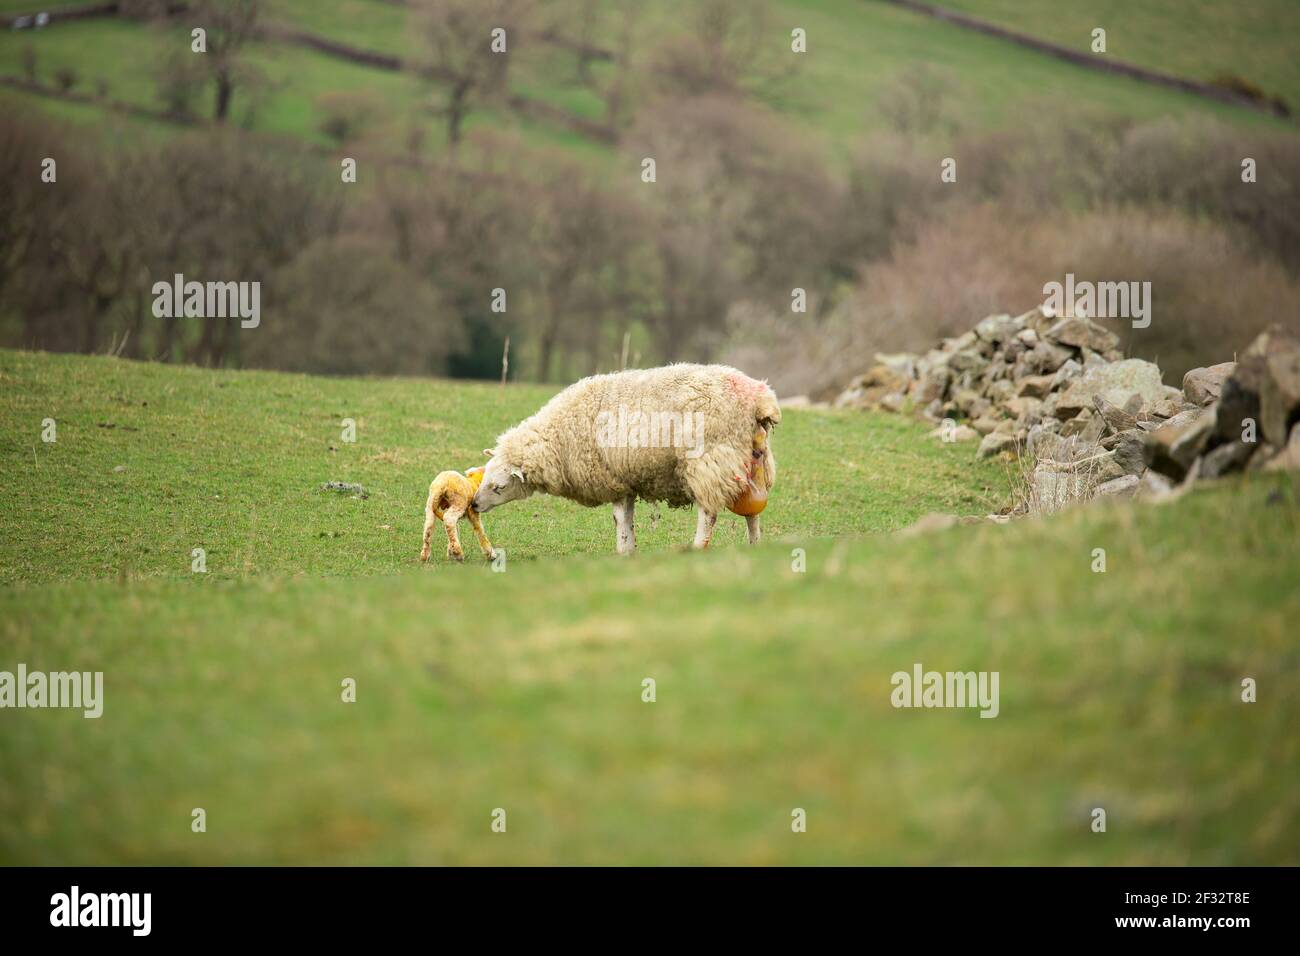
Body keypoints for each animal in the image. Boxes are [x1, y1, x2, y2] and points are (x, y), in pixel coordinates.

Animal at [471, 364, 779, 554]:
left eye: (499, 486)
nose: (473, 505)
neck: (558, 437)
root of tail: (759, 398)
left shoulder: (612, 479)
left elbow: (619, 519)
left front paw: (622, 550)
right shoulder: (626, 479)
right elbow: (627, 519)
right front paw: (630, 550)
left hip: (708, 461)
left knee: (709, 513)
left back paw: (697, 546)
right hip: (754, 460)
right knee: (752, 512)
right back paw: (756, 546)